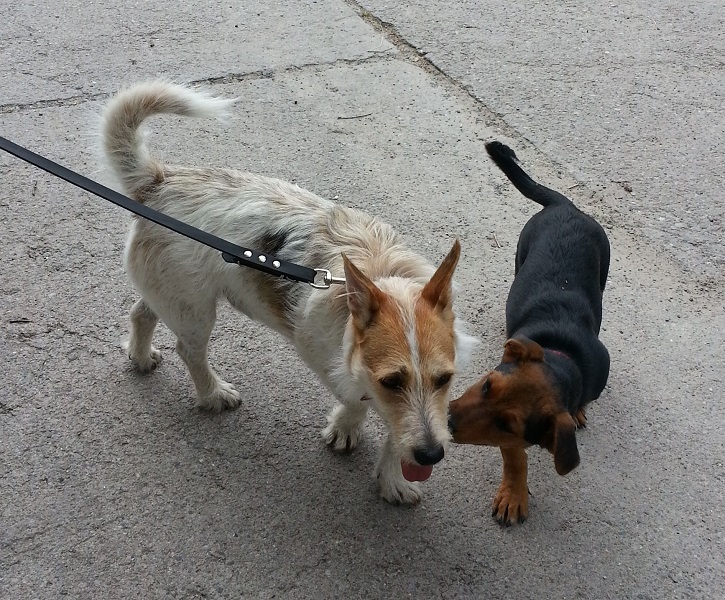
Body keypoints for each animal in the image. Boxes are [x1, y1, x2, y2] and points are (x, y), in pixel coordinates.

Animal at [100, 81, 478, 505]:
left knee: (141, 312)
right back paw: (212, 393)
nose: (431, 454)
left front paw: (390, 474)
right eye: (392, 382)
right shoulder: (327, 357)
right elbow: (357, 399)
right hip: (195, 311)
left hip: (173, 295)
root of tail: (160, 181)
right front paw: (358, 436)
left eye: (444, 379)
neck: (380, 275)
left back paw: (140, 355)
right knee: (189, 350)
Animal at [448, 141, 610, 524]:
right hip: (521, 250)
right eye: (487, 384)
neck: (562, 358)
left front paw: (578, 411)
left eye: (506, 424)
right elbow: (516, 459)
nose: (445, 421)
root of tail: (567, 206)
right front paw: (514, 494)